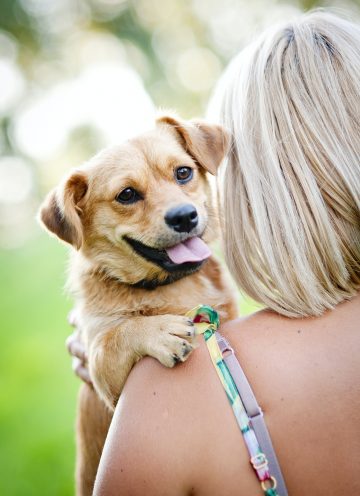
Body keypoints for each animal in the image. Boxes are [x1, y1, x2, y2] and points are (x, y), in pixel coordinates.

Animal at [39, 113, 238, 496]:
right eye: (127, 195)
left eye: (183, 173)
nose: (184, 216)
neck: (170, 286)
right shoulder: (104, 375)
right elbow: (117, 335)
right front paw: (160, 331)